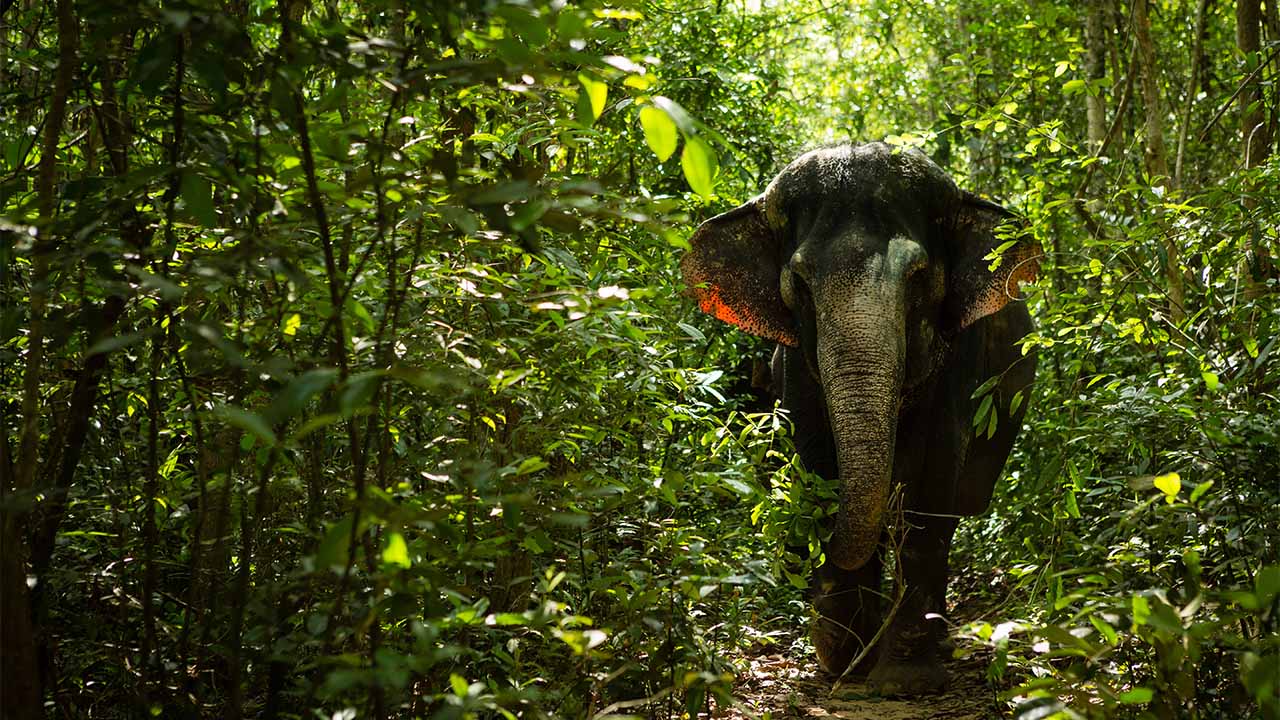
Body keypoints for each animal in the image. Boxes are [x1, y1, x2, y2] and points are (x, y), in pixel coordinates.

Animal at [680, 142, 1038, 695]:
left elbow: (931, 490)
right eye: (800, 283)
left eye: (918, 277)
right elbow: (819, 462)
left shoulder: (962, 358)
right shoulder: (794, 368)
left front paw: (906, 681)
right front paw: (844, 658)